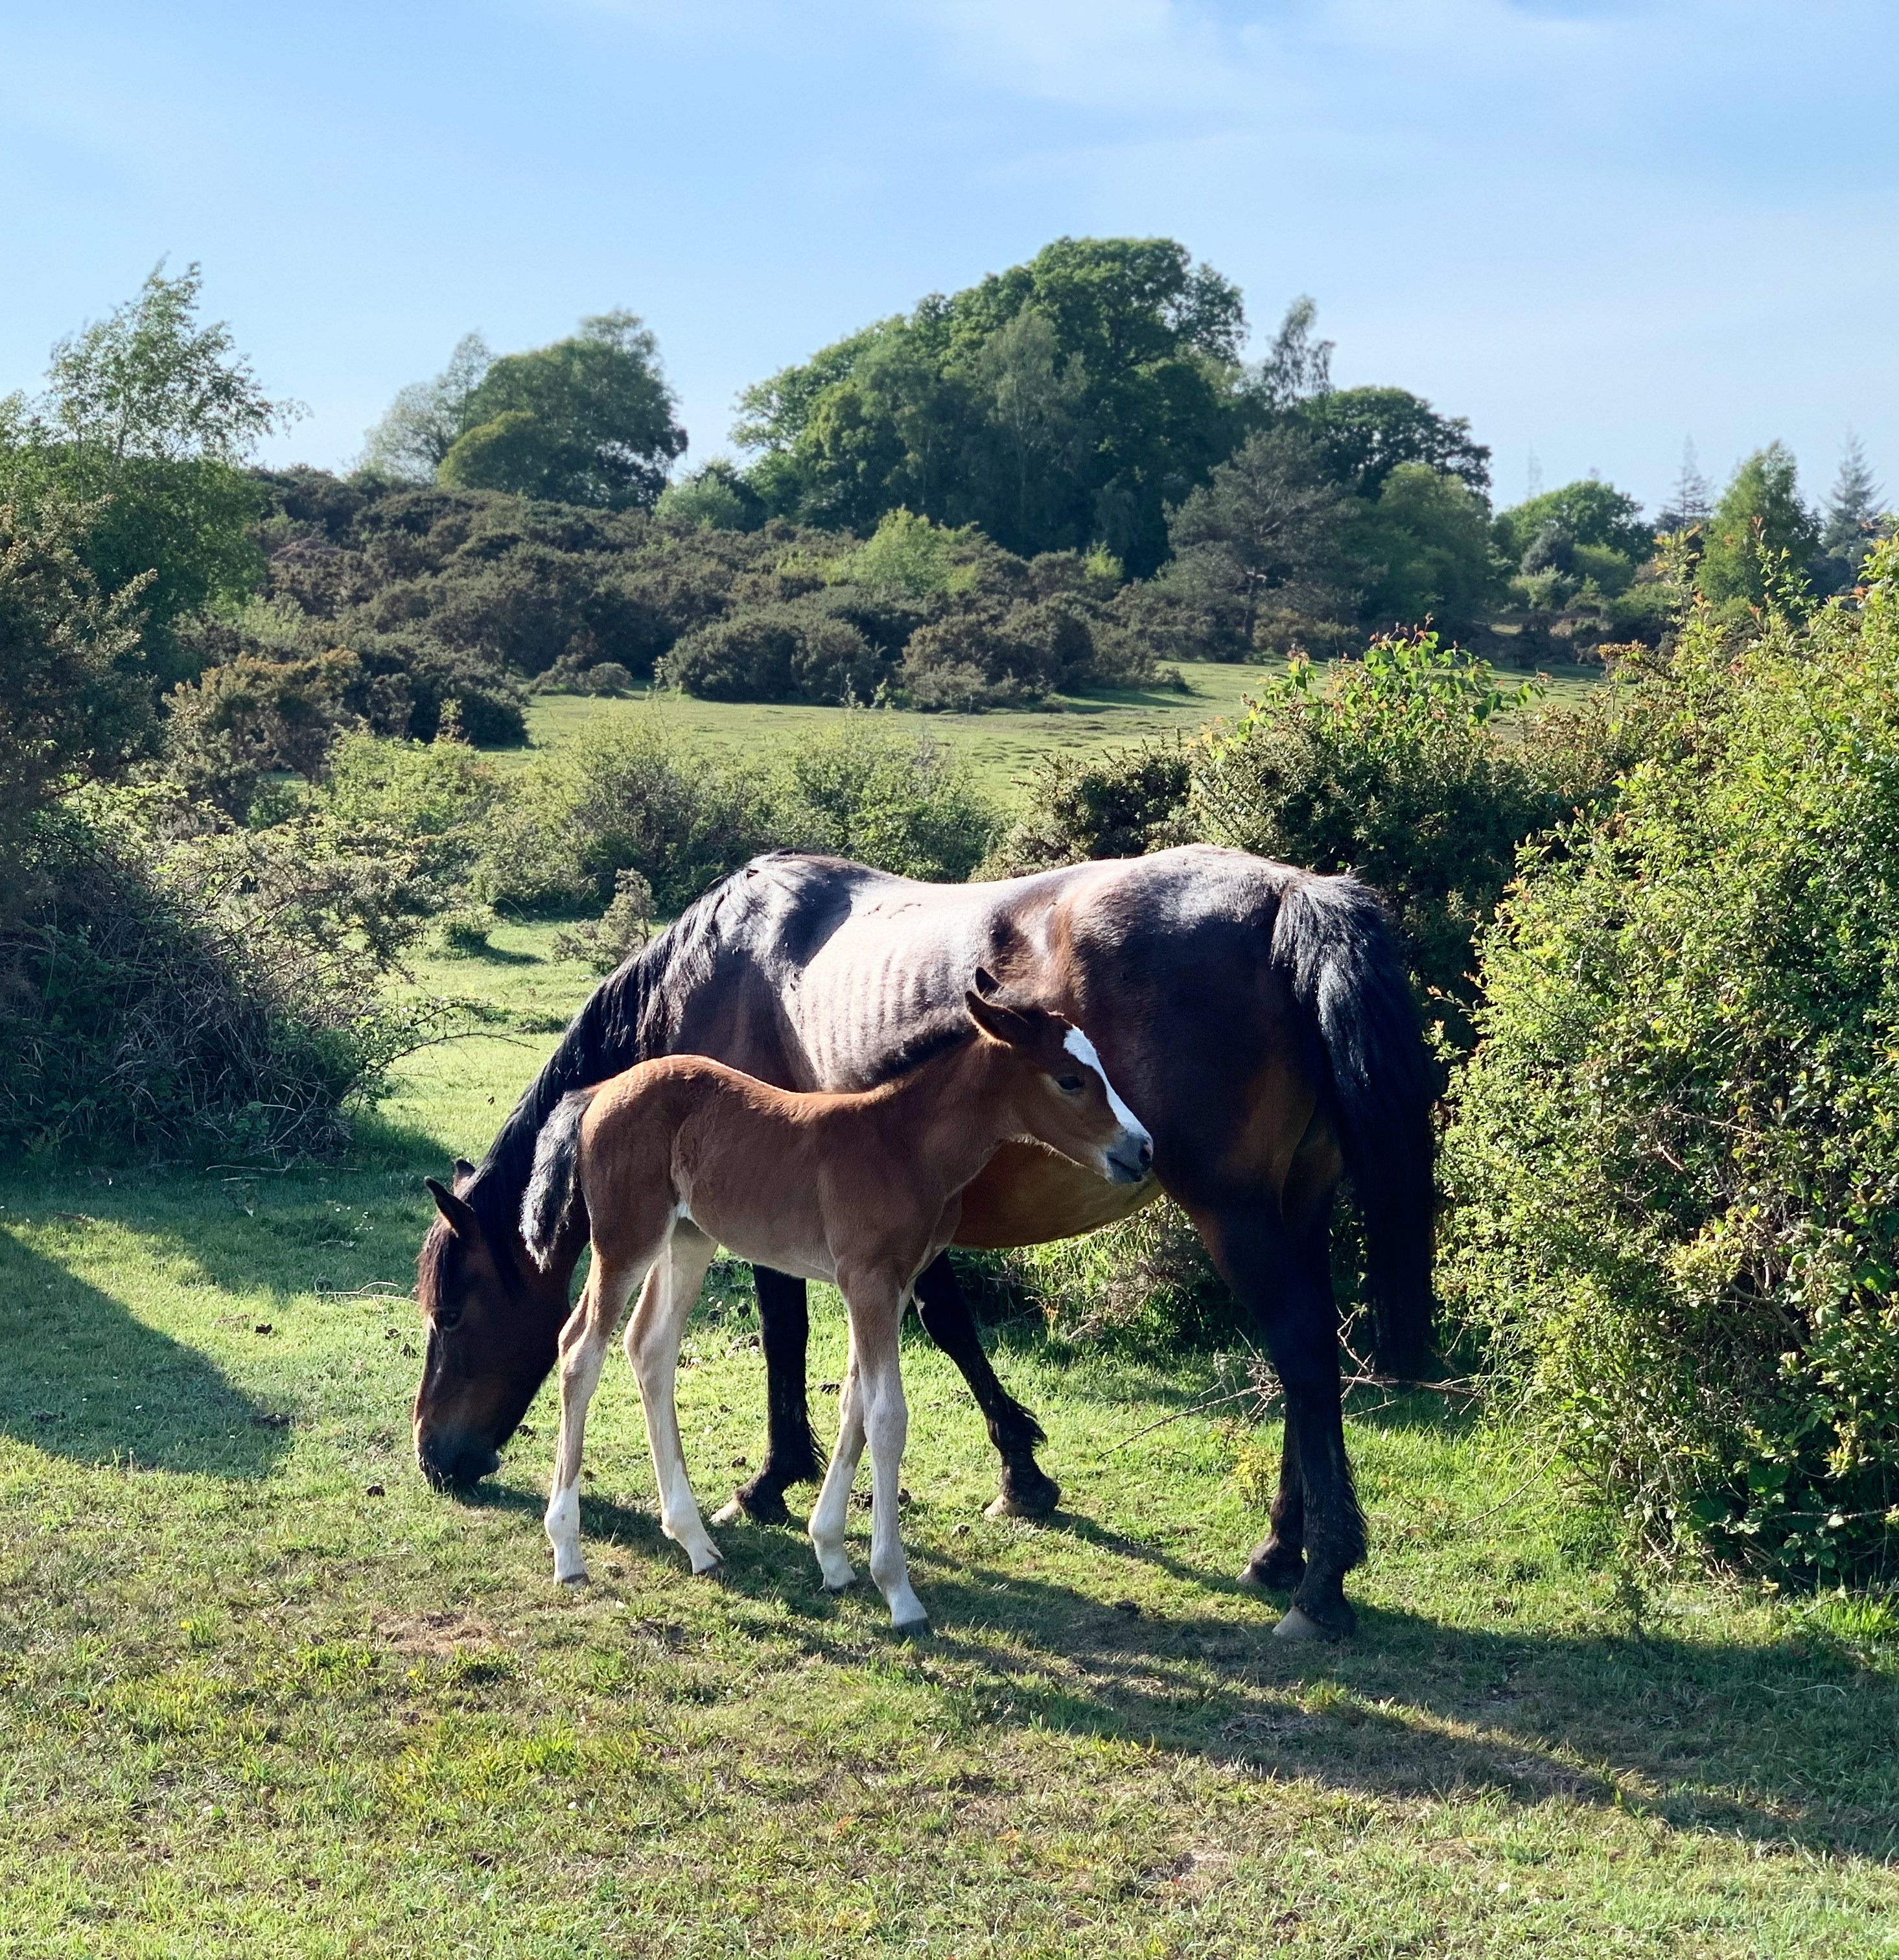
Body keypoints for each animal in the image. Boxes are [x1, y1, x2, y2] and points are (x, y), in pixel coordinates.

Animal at [515, 984, 1152, 1631]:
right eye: (1071, 1080)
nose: (1142, 1149)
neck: (904, 1145)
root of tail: (598, 1092)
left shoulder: (890, 1286)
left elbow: (855, 1404)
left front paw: (833, 1558)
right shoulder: (868, 1281)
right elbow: (887, 1417)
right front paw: (898, 1592)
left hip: (688, 1238)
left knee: (650, 1347)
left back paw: (695, 1541)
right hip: (626, 1239)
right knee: (580, 1349)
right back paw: (568, 1551)